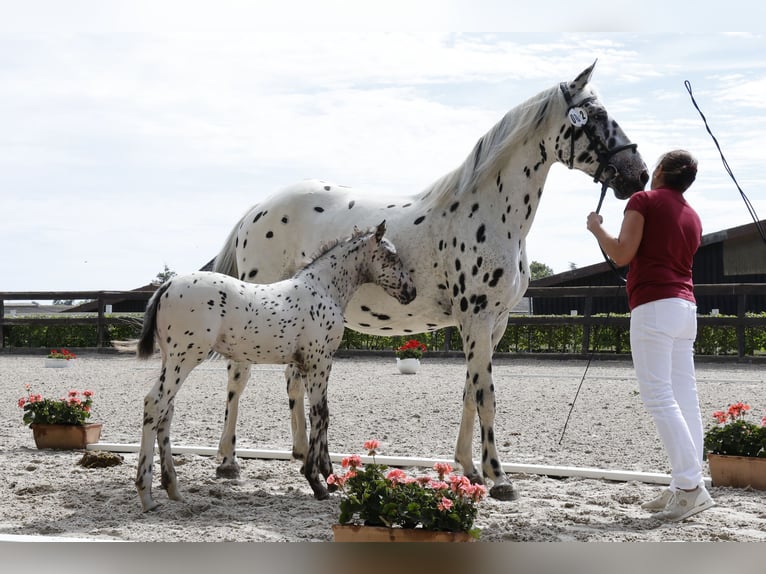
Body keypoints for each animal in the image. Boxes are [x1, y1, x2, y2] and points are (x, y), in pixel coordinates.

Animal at [127, 223, 414, 510]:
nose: (410, 292)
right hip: (185, 358)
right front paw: (318, 481)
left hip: (171, 359)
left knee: (167, 411)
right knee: (155, 403)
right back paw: (147, 495)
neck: (323, 288)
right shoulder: (319, 361)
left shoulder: (306, 365)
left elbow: (317, 414)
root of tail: (167, 285)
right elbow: (321, 414)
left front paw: (327, 475)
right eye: (391, 256)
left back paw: (173, 489)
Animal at [213, 64, 652, 504]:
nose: (639, 174)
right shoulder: (476, 318)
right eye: (596, 116)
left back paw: (304, 456)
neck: (489, 212)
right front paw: (500, 478)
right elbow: (487, 396)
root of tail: (256, 209)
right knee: (239, 376)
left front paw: (470, 469)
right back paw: (228, 463)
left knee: (292, 380)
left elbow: (471, 393)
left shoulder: (495, 324)